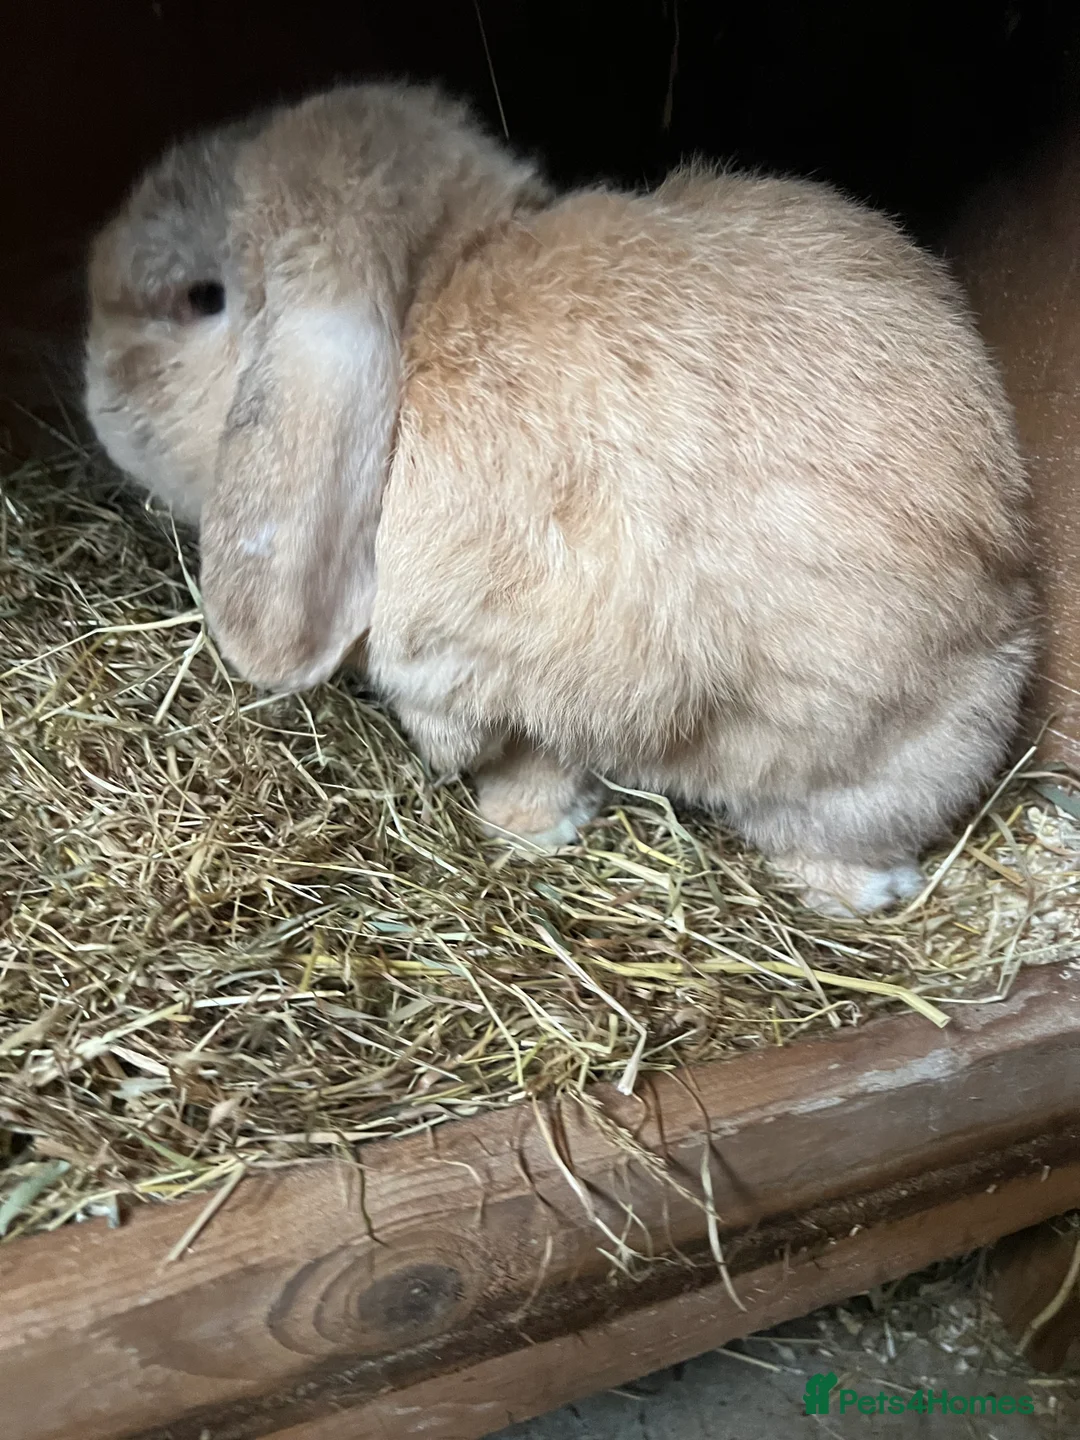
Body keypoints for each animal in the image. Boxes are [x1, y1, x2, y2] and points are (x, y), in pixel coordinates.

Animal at [84, 81, 1036, 916]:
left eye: (201, 298)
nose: (95, 391)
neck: (431, 290)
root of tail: (998, 596)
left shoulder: (455, 673)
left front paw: (528, 829)